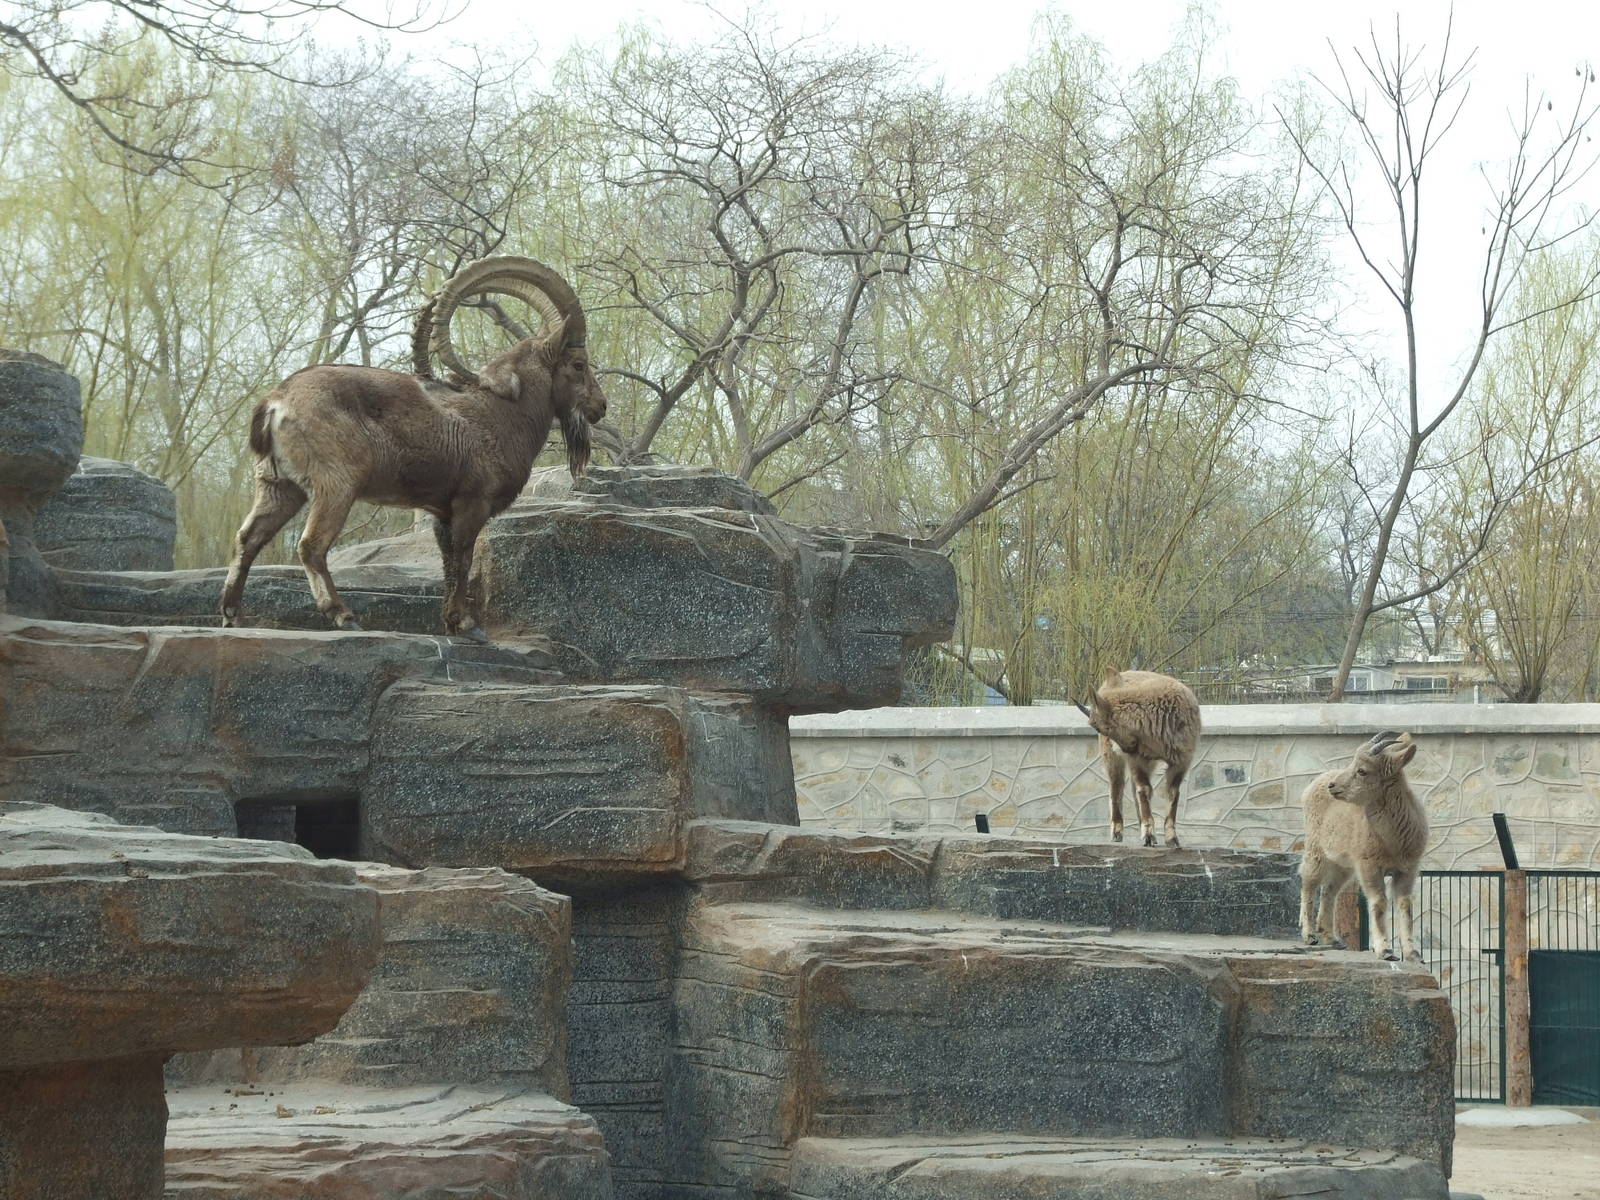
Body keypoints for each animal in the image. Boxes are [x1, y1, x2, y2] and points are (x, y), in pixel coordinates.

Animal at [220, 257, 607, 639]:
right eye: (579, 364)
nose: (600, 407)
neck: (502, 411)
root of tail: (275, 401)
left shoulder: (441, 512)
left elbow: (449, 563)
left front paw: (451, 623)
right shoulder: (472, 502)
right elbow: (464, 558)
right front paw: (468, 625)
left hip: (279, 486)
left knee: (247, 539)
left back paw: (231, 616)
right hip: (336, 485)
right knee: (310, 545)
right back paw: (343, 615)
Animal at [1075, 669, 1201, 848]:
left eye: (1098, 726)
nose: (1123, 748)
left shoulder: (1183, 758)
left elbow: (1172, 792)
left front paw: (1171, 838)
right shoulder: (1138, 757)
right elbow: (1144, 789)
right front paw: (1148, 834)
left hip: (1150, 761)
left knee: (1134, 791)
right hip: (1112, 757)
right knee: (1117, 787)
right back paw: (1117, 832)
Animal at [1298, 731, 1427, 961]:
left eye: (1362, 770)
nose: (1333, 786)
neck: (1392, 842)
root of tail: (1311, 786)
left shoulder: (1408, 868)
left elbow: (1405, 904)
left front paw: (1412, 953)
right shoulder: (1369, 865)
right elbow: (1379, 902)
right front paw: (1385, 950)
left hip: (1343, 865)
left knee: (1330, 890)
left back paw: (1332, 938)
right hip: (1316, 849)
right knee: (1309, 883)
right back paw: (1310, 935)